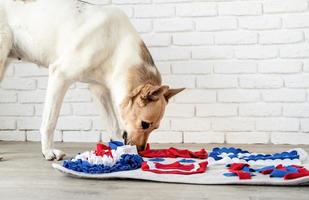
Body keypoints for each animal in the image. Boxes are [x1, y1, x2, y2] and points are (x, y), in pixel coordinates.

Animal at [0, 0, 183, 160]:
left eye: (155, 127)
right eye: (145, 124)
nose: (140, 151)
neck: (116, 46)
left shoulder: (99, 91)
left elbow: (113, 124)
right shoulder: (59, 75)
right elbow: (50, 121)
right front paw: (48, 151)